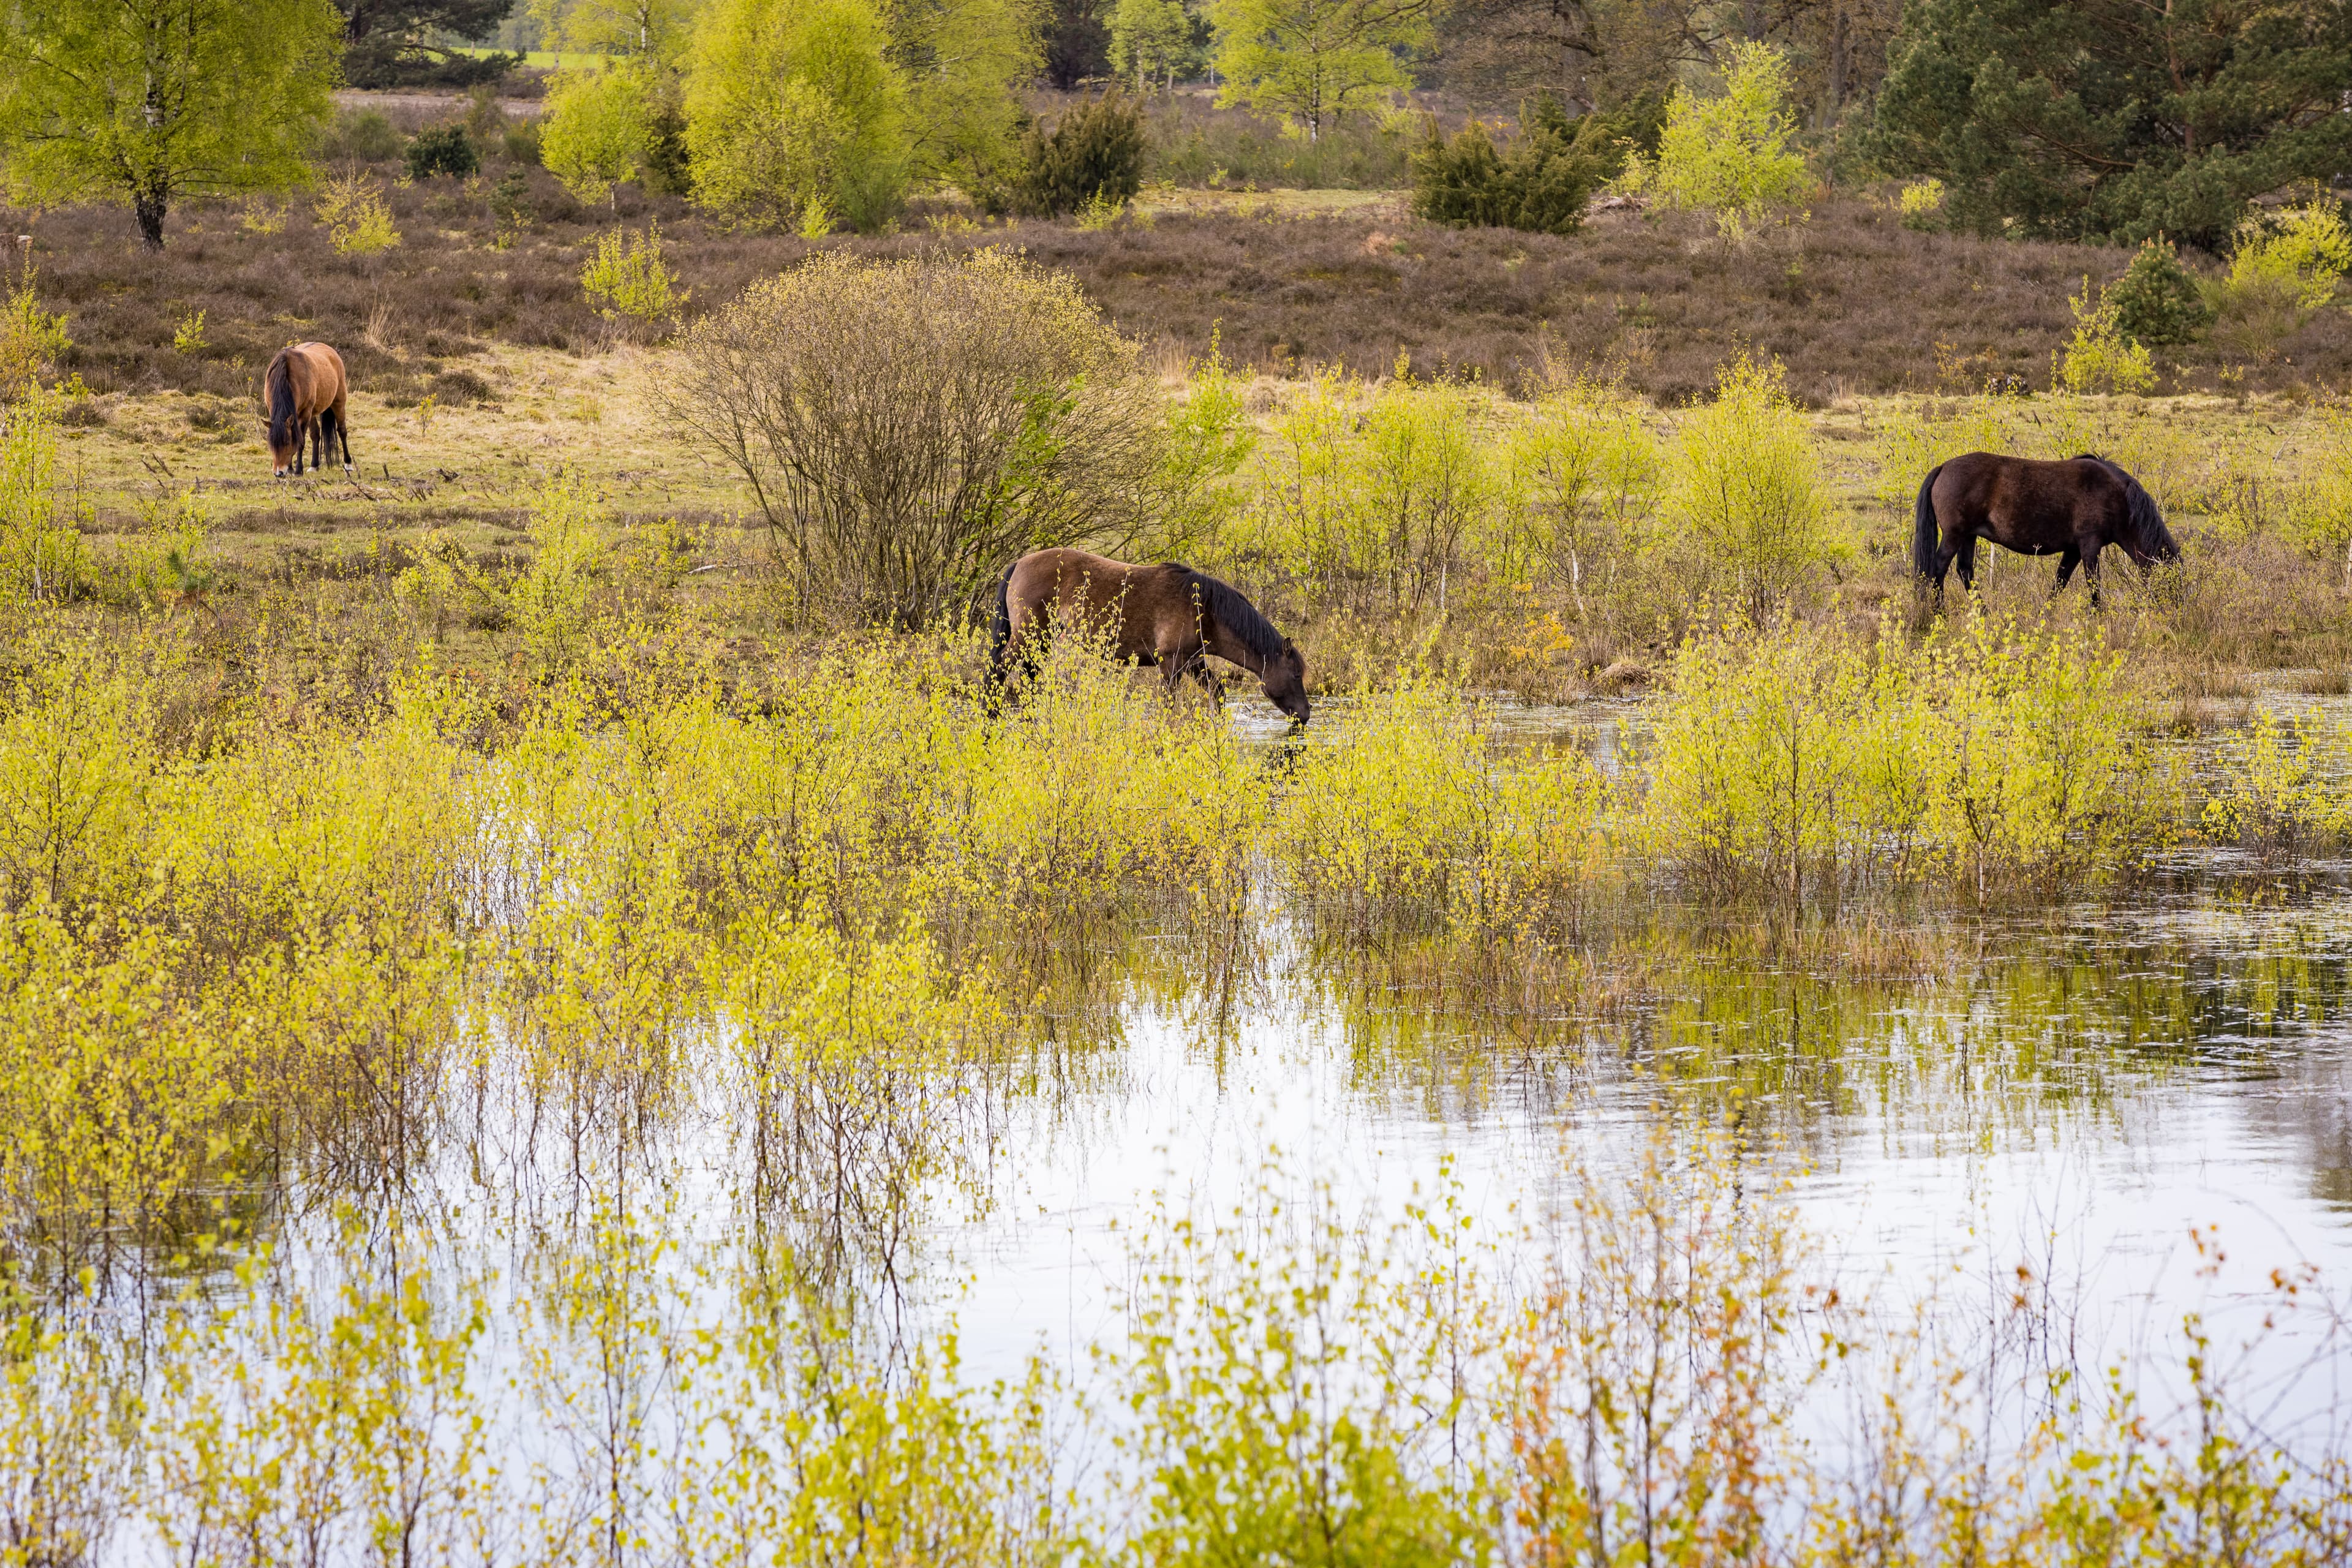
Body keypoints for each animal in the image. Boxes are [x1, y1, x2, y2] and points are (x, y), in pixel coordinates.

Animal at [264, 342, 353, 477]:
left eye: (286, 443)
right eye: (271, 445)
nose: (279, 473)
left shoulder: (305, 413)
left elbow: (300, 441)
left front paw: (298, 470)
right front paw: (291, 469)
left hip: (338, 403)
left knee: (342, 431)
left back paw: (348, 465)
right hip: (313, 413)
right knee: (316, 434)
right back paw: (314, 466)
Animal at [988, 548, 1311, 725]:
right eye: (1296, 675)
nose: (1306, 715)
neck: (1204, 608)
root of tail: (1019, 564)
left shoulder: (1193, 662)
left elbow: (1217, 692)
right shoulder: (1171, 664)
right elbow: (1167, 705)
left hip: (1040, 639)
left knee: (1029, 674)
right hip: (1027, 635)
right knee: (999, 668)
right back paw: (990, 715)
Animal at [1913, 452, 2179, 608]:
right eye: (2173, 579)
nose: (2175, 614)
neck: (2114, 495)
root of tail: (1944, 467)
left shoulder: (2073, 550)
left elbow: (2060, 582)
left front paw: (2046, 614)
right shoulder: (2089, 545)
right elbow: (2093, 584)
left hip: (1968, 536)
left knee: (1965, 571)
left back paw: (1983, 612)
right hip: (1954, 535)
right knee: (1939, 569)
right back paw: (1940, 612)